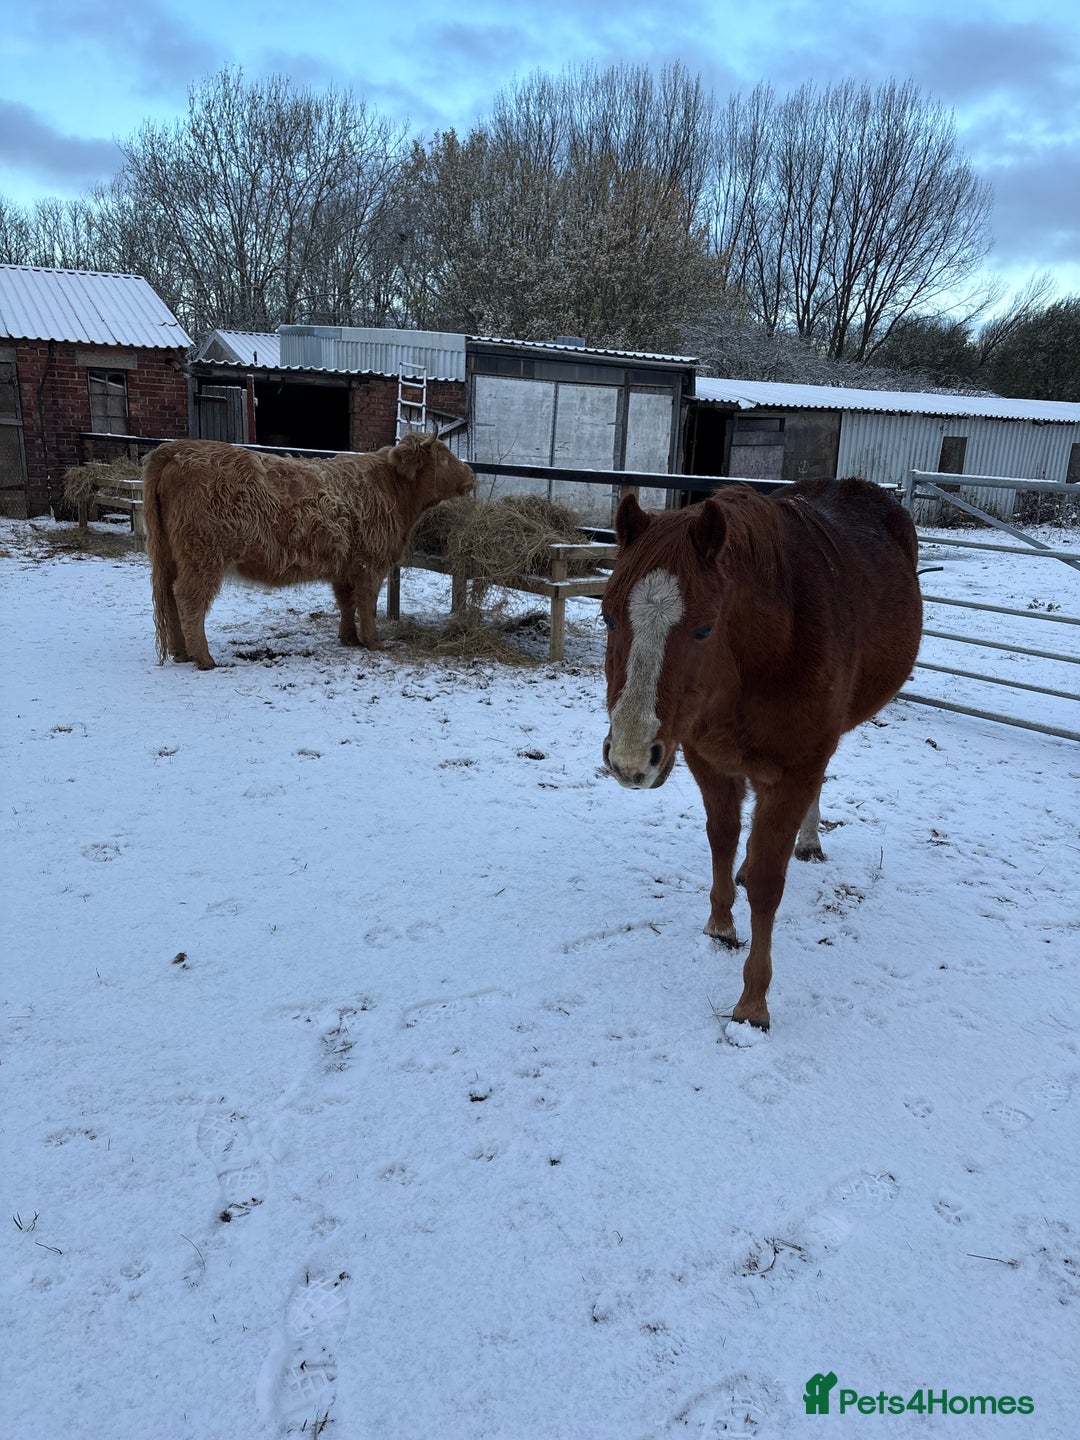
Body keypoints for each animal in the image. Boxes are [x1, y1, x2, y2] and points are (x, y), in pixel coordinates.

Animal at [143, 433, 475, 669]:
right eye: (444, 458)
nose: (471, 475)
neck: (394, 491)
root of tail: (175, 449)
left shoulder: (345, 567)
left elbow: (346, 603)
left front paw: (348, 638)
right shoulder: (370, 564)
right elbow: (367, 604)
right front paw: (374, 642)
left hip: (170, 556)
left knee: (169, 596)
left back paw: (181, 652)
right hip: (203, 556)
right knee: (188, 598)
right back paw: (204, 659)